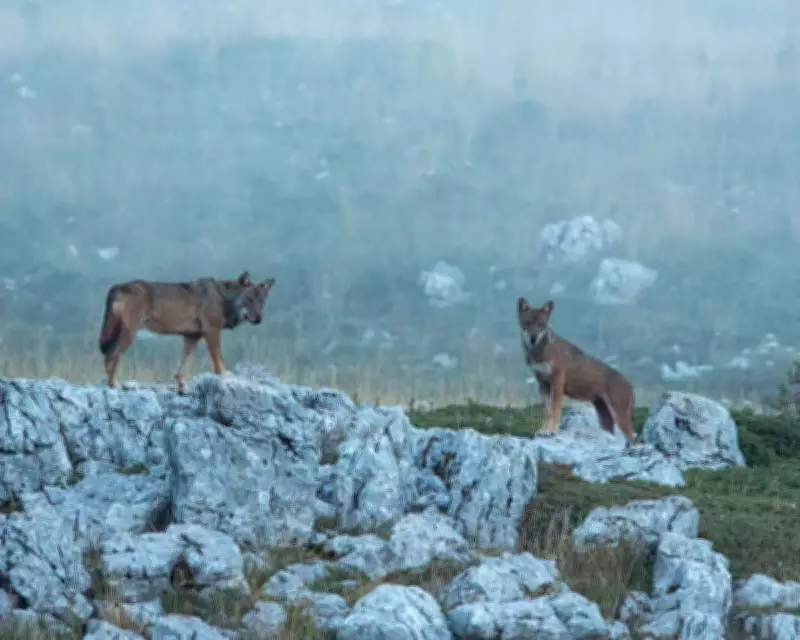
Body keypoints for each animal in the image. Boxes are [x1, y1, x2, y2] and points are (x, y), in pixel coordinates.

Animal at [98, 270, 275, 393]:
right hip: (129, 335)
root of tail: (117, 286)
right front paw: (224, 379)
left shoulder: (191, 337)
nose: (259, 319)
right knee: (110, 356)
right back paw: (113, 385)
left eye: (262, 301)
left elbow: (182, 369)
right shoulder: (212, 332)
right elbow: (219, 363)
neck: (222, 297)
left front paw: (182, 389)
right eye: (249, 299)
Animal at [517, 296, 637, 446]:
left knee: (632, 438)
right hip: (605, 420)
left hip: (620, 418)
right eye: (527, 323)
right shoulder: (542, 385)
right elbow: (547, 411)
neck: (540, 353)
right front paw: (543, 430)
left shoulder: (557, 382)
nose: (533, 339)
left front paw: (553, 431)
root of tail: (630, 385)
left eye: (541, 324)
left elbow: (555, 410)